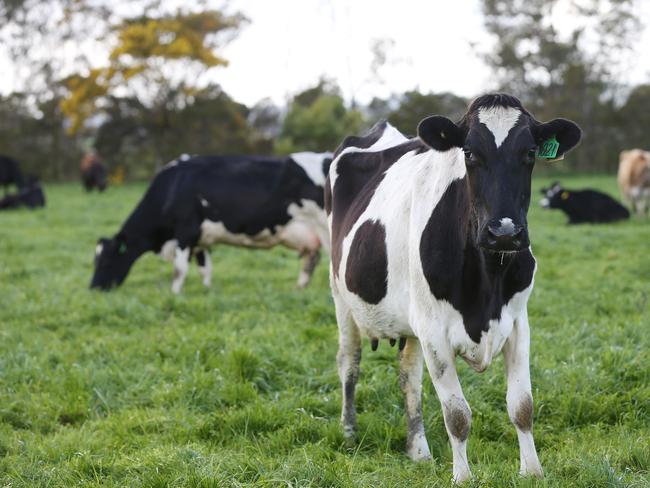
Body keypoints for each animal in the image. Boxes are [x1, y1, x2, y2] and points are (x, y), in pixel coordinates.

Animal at [91, 152, 332, 294]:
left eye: (106, 262)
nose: (93, 287)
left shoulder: (185, 231)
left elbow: (179, 268)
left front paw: (175, 294)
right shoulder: (201, 240)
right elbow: (204, 268)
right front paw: (207, 291)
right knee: (310, 261)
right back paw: (299, 288)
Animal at [326, 93, 580, 482]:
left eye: (530, 153)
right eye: (470, 153)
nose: (504, 232)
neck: (488, 279)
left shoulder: (518, 323)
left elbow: (522, 406)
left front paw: (532, 472)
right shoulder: (434, 332)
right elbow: (457, 414)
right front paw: (463, 477)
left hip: (410, 323)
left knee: (409, 377)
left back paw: (419, 452)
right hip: (342, 298)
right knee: (348, 362)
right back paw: (349, 431)